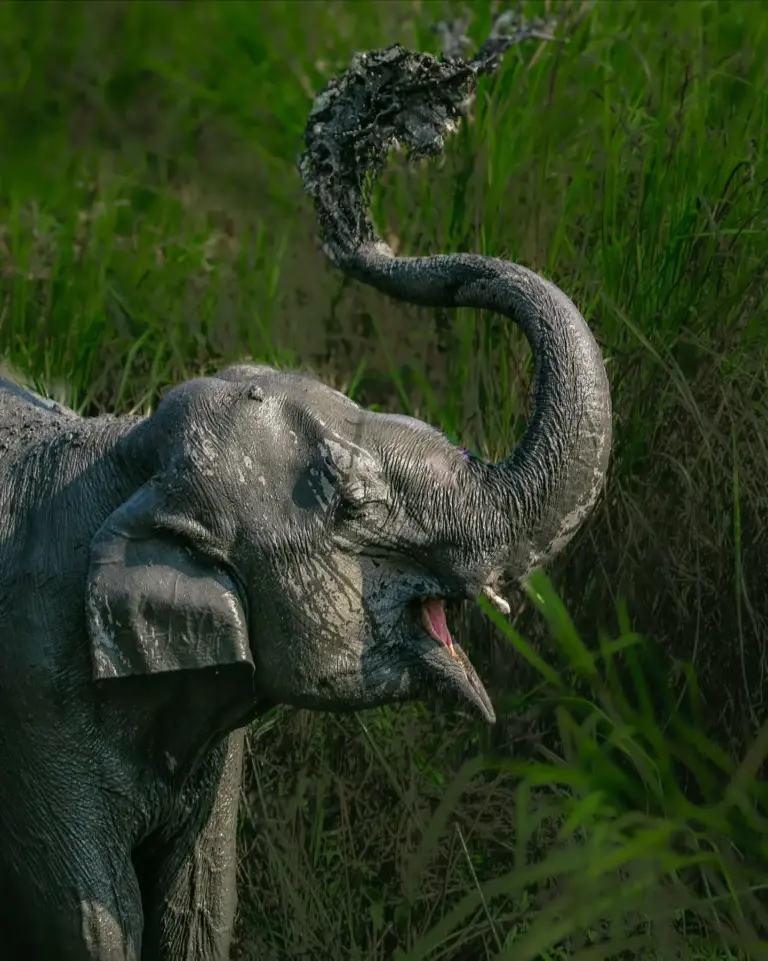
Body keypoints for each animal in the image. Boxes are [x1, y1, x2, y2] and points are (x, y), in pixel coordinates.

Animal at [0, 27, 611, 961]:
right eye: (354, 509)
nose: (359, 218)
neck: (118, 463)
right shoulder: (35, 711)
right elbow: (86, 922)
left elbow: (198, 907)